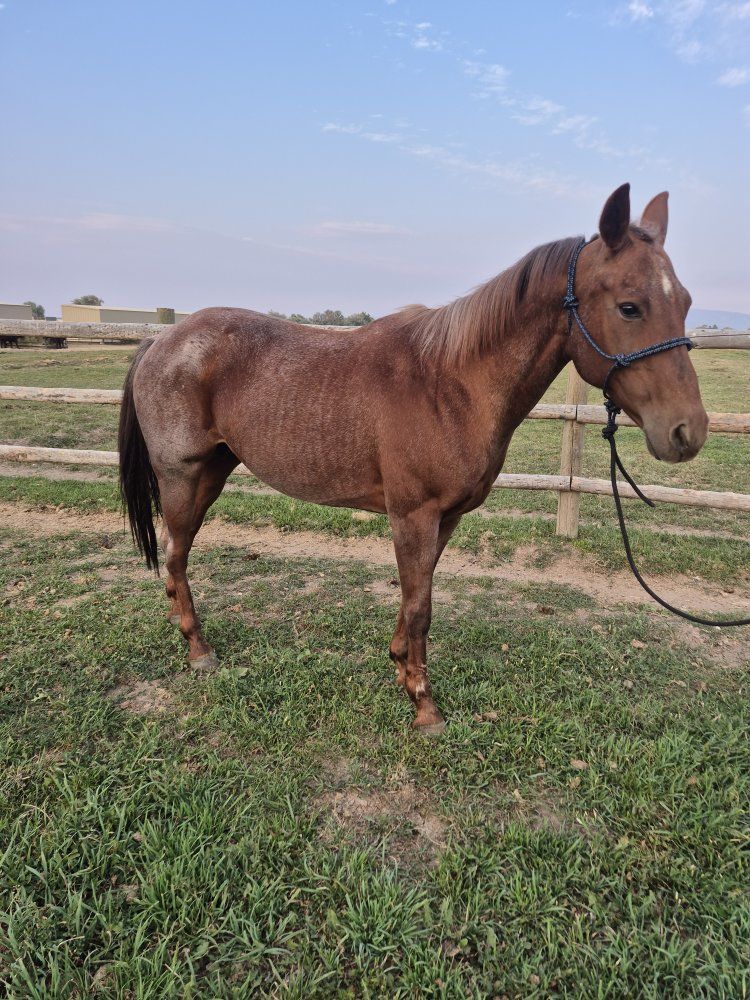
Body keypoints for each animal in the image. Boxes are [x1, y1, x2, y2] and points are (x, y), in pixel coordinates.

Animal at [118, 183, 708, 735]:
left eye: (684, 302)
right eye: (629, 306)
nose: (688, 431)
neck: (451, 383)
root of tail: (160, 341)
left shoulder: (442, 520)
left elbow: (415, 600)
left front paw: (401, 667)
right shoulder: (413, 516)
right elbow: (420, 606)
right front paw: (425, 706)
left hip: (214, 472)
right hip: (182, 477)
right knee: (175, 556)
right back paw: (199, 651)